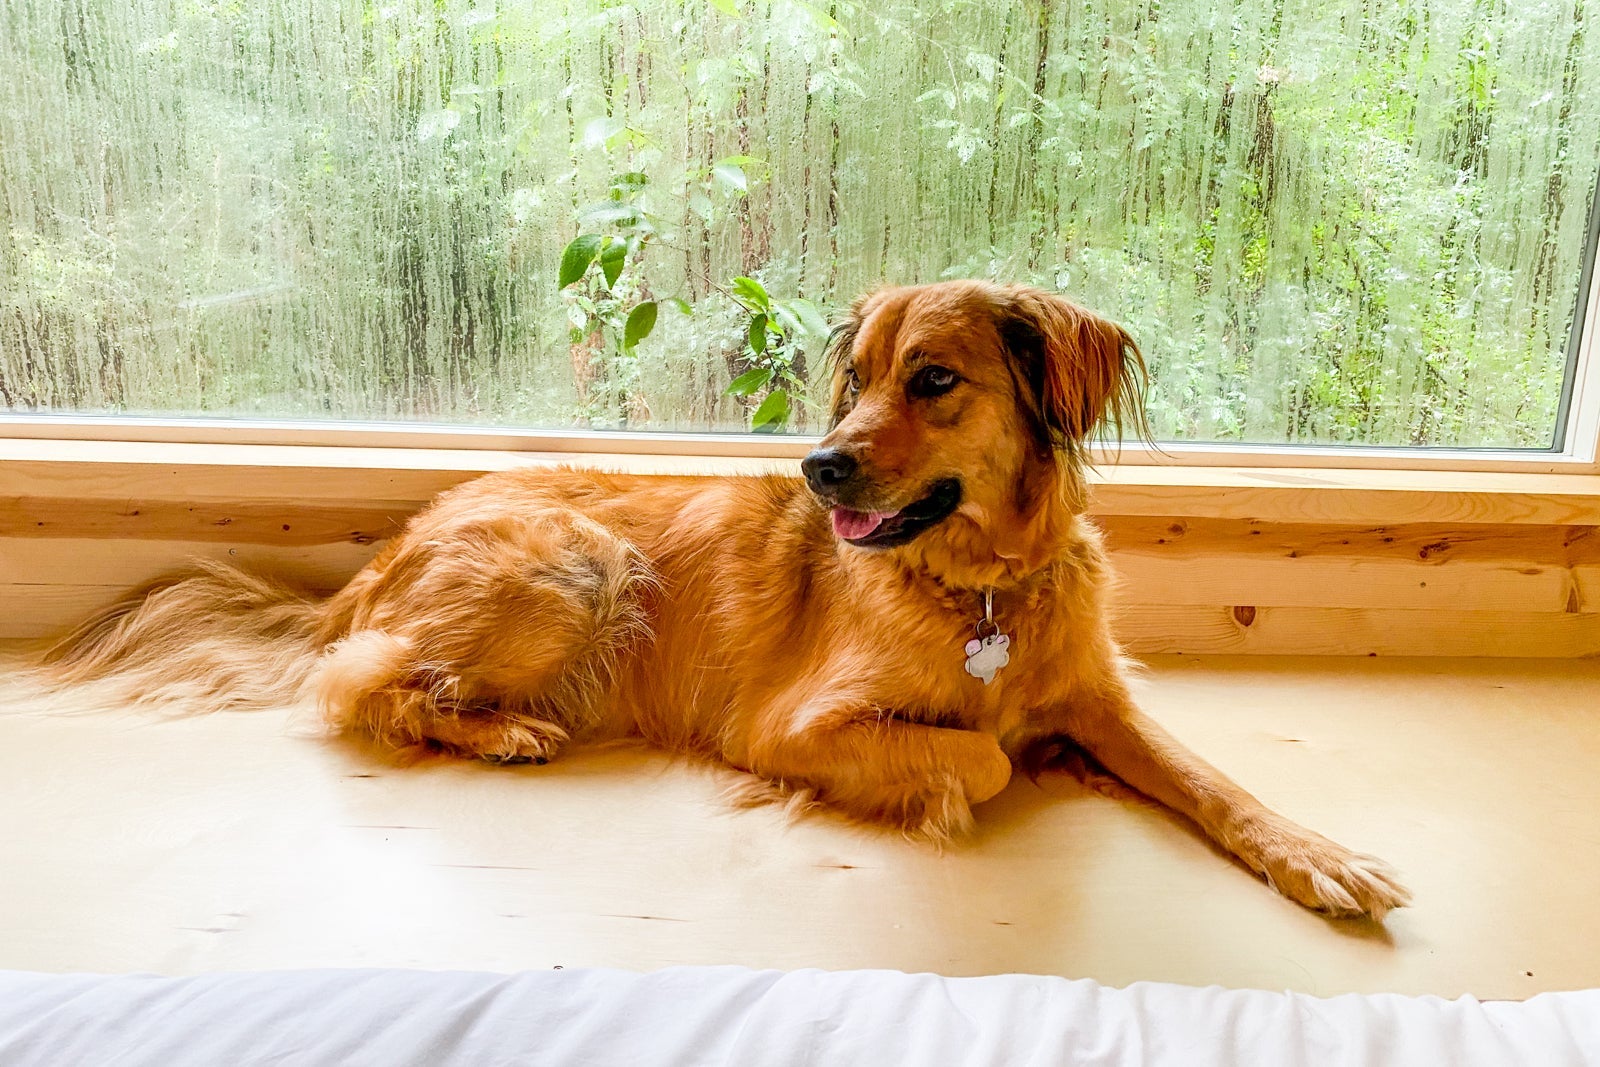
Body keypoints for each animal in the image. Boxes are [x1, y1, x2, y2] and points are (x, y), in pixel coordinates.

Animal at [41, 280, 1409, 919]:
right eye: (857, 377)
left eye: (934, 379)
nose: (818, 466)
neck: (979, 591)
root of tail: (396, 543)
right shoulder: (790, 724)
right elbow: (979, 758)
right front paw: (987, 769)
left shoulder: (1103, 697)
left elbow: (1211, 779)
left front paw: (1318, 853)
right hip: (582, 565)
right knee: (363, 684)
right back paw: (507, 728)